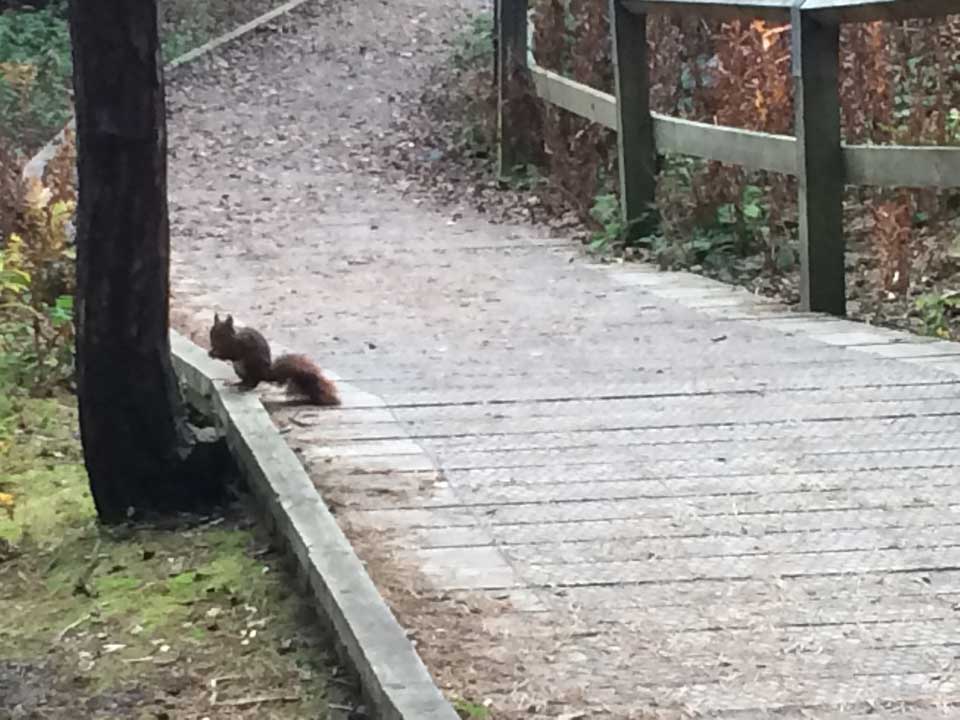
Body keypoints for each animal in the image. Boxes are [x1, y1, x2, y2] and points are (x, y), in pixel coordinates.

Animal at [207, 314, 342, 408]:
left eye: (222, 333)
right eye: (211, 331)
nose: (212, 344)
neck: (232, 339)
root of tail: (265, 373)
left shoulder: (239, 346)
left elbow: (231, 354)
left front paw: (215, 353)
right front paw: (211, 352)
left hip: (250, 365)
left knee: (253, 382)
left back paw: (244, 387)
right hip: (239, 369)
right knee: (247, 380)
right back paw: (236, 383)